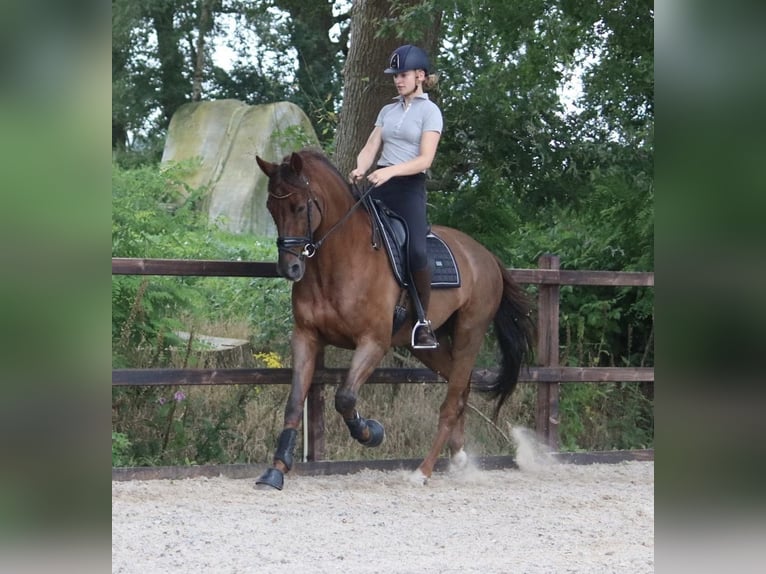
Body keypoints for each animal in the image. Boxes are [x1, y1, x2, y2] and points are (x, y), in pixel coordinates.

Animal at [252, 148, 536, 490]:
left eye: (299, 206)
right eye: (271, 209)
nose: (289, 268)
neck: (339, 260)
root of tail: (485, 255)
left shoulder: (373, 342)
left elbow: (345, 397)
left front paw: (370, 433)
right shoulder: (306, 336)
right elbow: (295, 401)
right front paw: (276, 470)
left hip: (470, 332)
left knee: (451, 400)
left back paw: (423, 471)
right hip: (429, 346)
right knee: (462, 388)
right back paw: (458, 458)